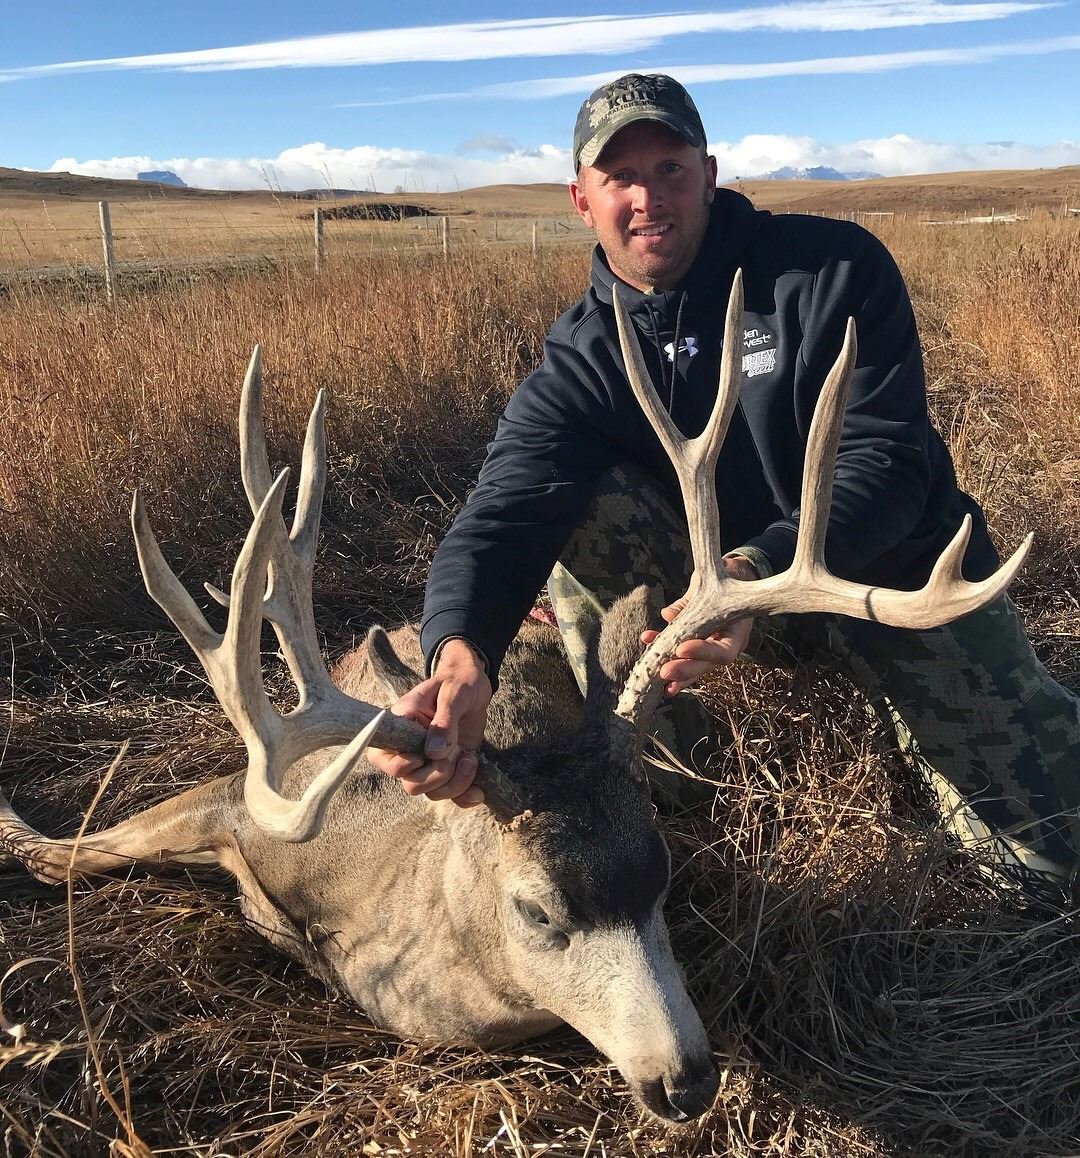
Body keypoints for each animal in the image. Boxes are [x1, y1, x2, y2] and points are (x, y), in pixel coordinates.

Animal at [0, 272, 1030, 1124]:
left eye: (663, 876)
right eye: (537, 911)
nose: (686, 1081)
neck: (388, 910)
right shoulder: (250, 796)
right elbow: (72, 855)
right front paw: (20, 823)